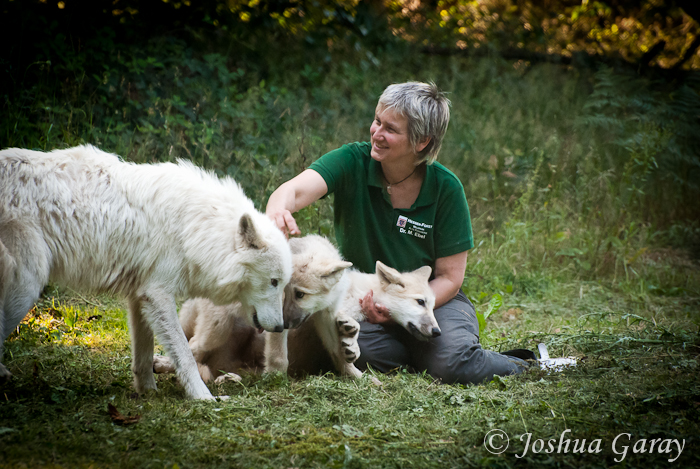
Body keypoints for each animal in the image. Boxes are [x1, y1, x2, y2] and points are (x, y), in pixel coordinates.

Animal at [0, 145, 290, 398]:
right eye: (273, 282)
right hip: (26, 287)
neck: (194, 228)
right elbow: (185, 355)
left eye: (283, 284)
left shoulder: (140, 296)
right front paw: (204, 398)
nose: (280, 326)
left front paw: (147, 392)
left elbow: (144, 355)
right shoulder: (159, 294)